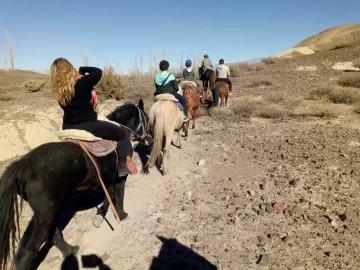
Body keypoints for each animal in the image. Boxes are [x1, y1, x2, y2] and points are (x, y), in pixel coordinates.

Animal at [0, 100, 149, 270]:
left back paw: (71, 250)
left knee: (53, 233)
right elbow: (118, 194)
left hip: (48, 212)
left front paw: (99, 216)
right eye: (146, 118)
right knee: (32, 249)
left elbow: (110, 194)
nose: (149, 138)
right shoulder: (119, 177)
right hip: (46, 213)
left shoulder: (107, 179)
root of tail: (24, 164)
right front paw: (121, 215)